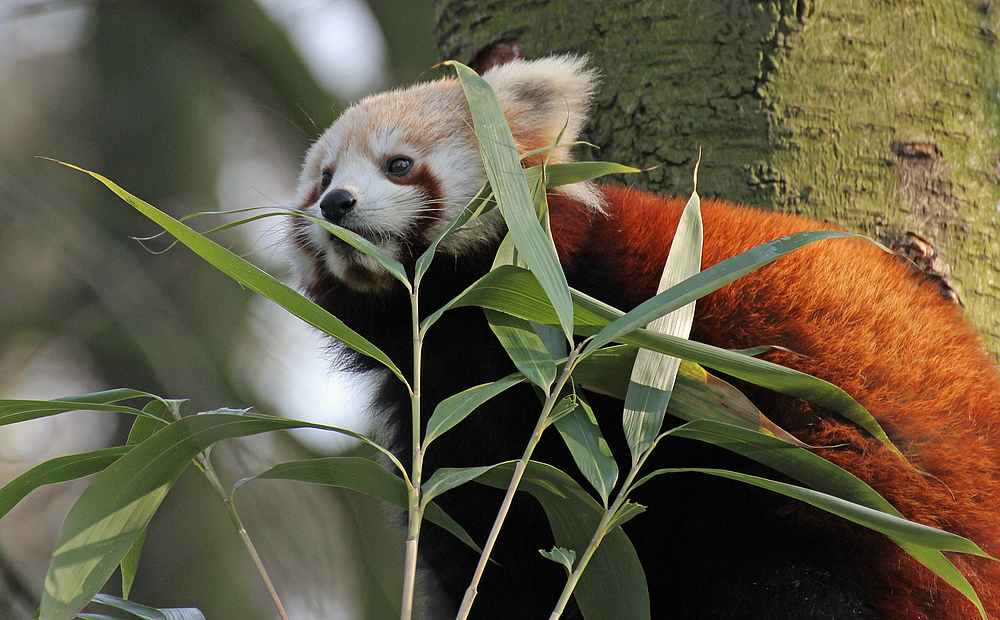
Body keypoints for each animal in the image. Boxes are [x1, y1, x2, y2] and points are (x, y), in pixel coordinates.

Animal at [288, 55, 1000, 616]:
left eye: (399, 164)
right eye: (322, 177)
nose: (337, 204)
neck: (454, 323)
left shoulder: (634, 338)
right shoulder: (447, 417)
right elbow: (484, 540)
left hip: (855, 506)